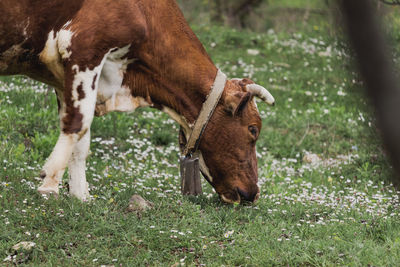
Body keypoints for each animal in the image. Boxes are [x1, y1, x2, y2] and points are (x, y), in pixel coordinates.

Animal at [0, 0, 276, 205]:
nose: (253, 193)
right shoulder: (84, 46)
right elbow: (78, 123)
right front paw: (50, 184)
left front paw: (80, 196)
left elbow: (81, 138)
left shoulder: (64, 74)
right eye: (253, 129)